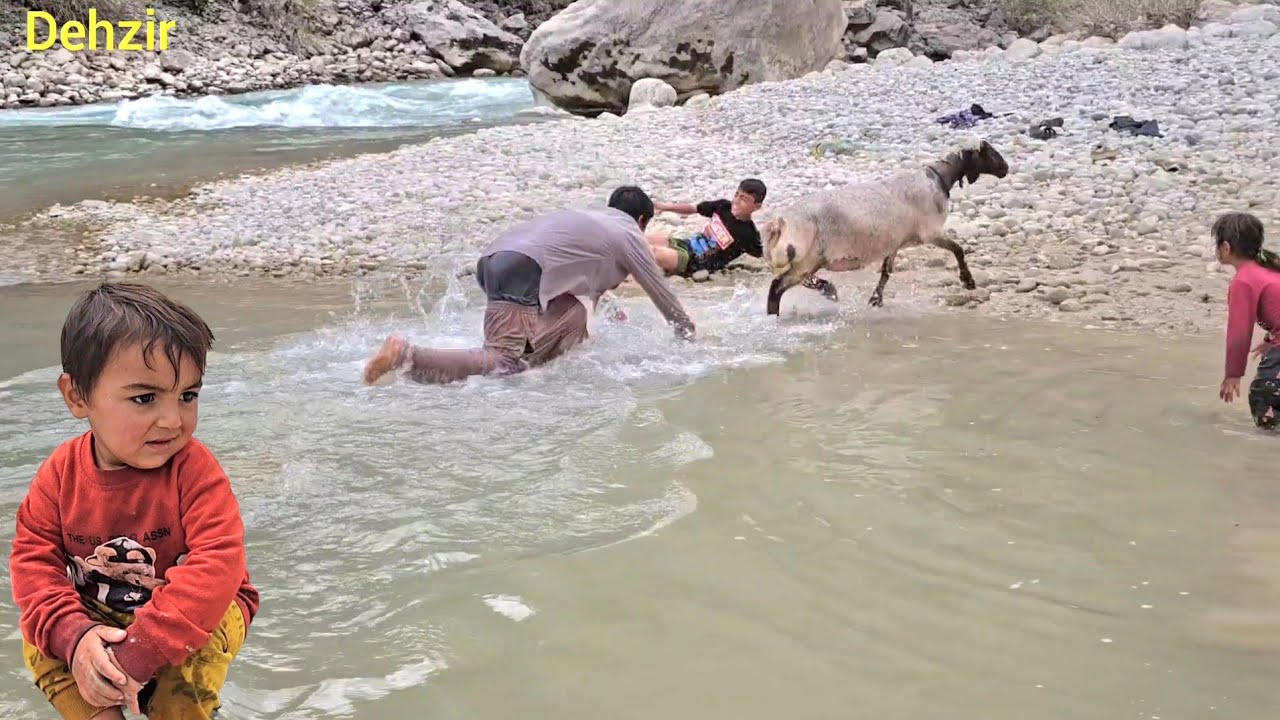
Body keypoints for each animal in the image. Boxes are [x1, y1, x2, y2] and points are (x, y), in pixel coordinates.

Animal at [760, 138, 1010, 315]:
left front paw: (875, 300)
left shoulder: (894, 243)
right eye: (989, 152)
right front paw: (968, 281)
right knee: (776, 287)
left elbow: (886, 273)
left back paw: (829, 291)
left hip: (802, 260)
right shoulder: (930, 233)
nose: (1006, 169)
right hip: (807, 260)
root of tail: (778, 224)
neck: (938, 180)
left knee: (797, 282)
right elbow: (958, 249)